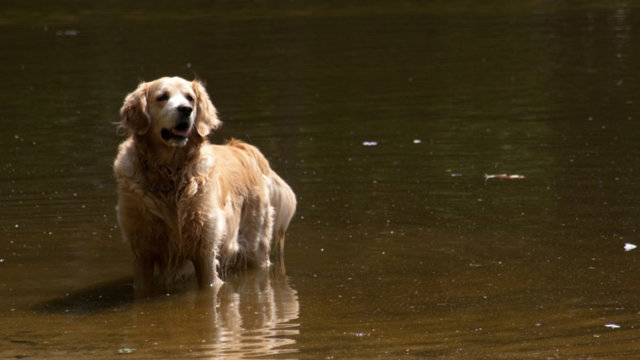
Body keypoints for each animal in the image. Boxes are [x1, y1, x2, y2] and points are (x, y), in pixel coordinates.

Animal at [113, 76, 298, 298]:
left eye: (190, 98)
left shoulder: (204, 249)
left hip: (256, 247)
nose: (186, 109)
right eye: (162, 97)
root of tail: (242, 148)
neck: (169, 174)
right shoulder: (141, 251)